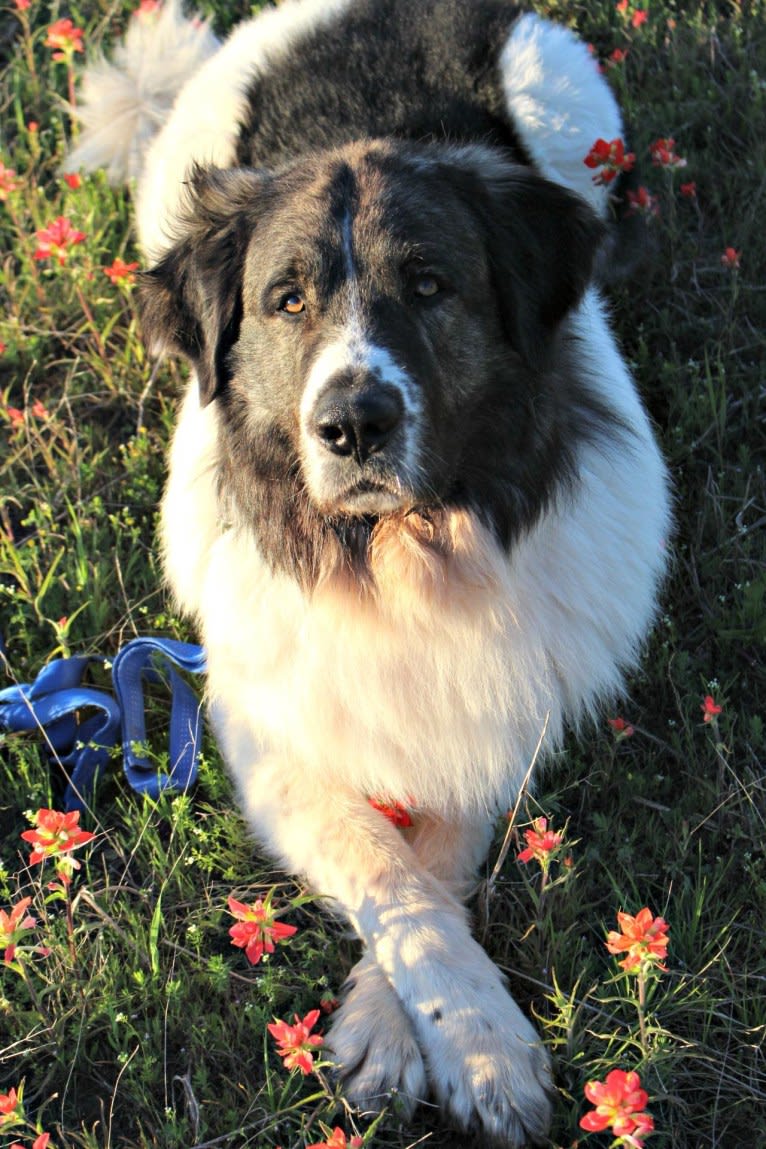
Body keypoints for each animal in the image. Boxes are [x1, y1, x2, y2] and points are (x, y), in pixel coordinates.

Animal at [70, 4, 670, 1144]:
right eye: (286, 301)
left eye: (430, 285)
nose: (353, 423)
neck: (400, 560)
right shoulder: (266, 727)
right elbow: (383, 872)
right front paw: (466, 1043)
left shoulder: (499, 713)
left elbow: (431, 859)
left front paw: (431, 1038)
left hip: (581, 118)